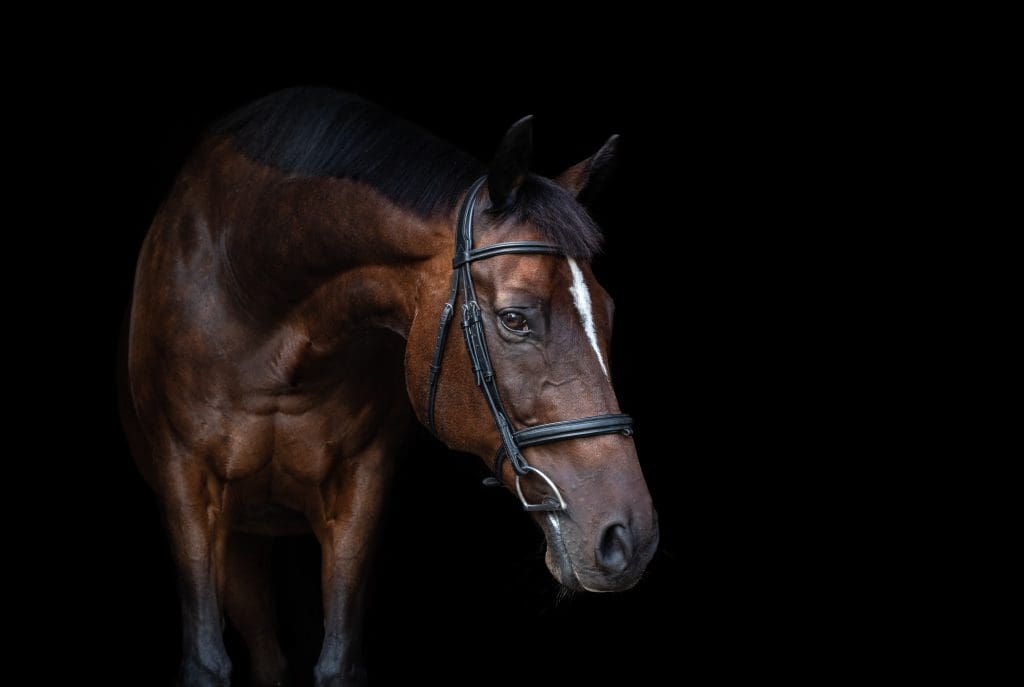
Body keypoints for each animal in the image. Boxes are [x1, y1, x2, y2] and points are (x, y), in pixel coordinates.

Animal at [119, 87, 658, 687]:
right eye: (515, 319)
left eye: (609, 312)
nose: (629, 537)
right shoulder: (184, 480)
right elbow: (206, 662)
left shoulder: (361, 484)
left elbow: (338, 660)